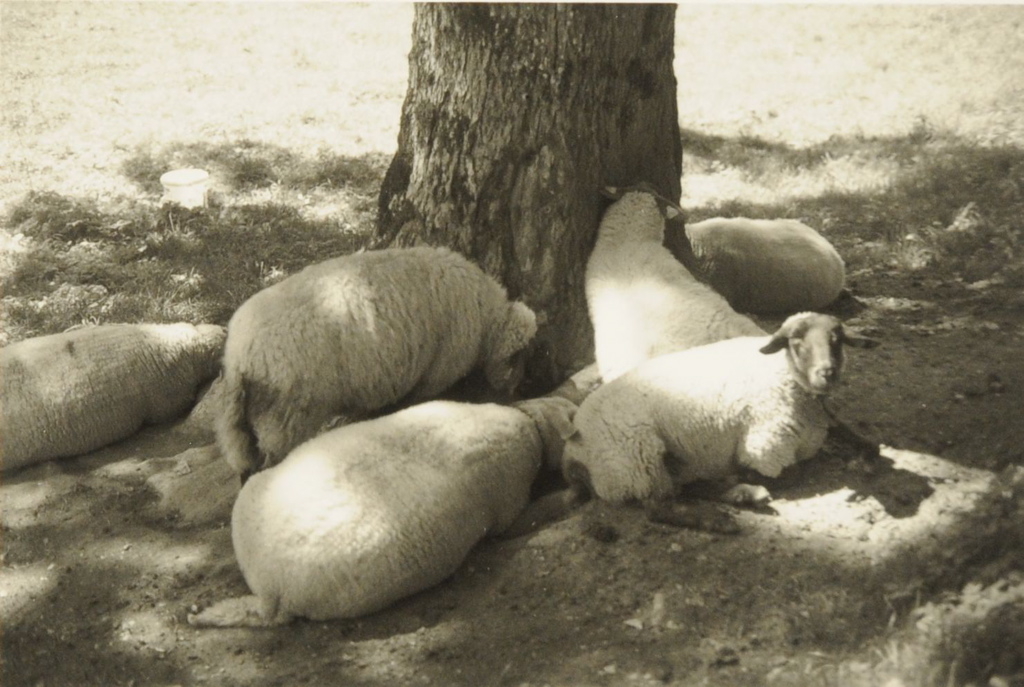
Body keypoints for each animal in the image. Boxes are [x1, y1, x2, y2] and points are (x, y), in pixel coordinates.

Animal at [216, 245, 538, 480]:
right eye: (519, 358)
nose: (519, 394)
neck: (487, 319)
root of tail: (238, 356)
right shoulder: (437, 371)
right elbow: (415, 402)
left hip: (253, 419)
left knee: (247, 462)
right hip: (285, 417)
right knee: (268, 463)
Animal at [560, 312, 878, 532]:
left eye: (836, 339)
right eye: (796, 342)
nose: (827, 373)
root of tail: (573, 449)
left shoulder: (826, 422)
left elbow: (869, 443)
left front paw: (865, 460)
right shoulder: (765, 448)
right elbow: (794, 472)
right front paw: (746, 474)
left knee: (681, 488)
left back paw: (740, 494)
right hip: (637, 456)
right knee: (658, 505)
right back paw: (725, 512)